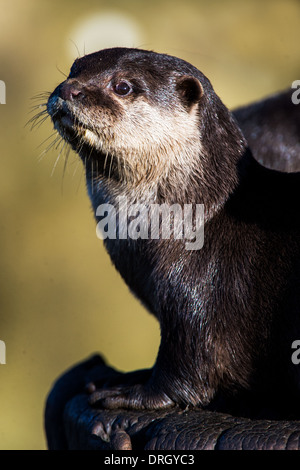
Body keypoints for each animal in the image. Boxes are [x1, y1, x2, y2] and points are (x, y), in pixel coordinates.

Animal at [47, 48, 300, 418]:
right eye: (73, 70)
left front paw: (131, 393)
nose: (69, 89)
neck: (195, 222)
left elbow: (188, 368)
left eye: (123, 86)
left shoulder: (201, 293)